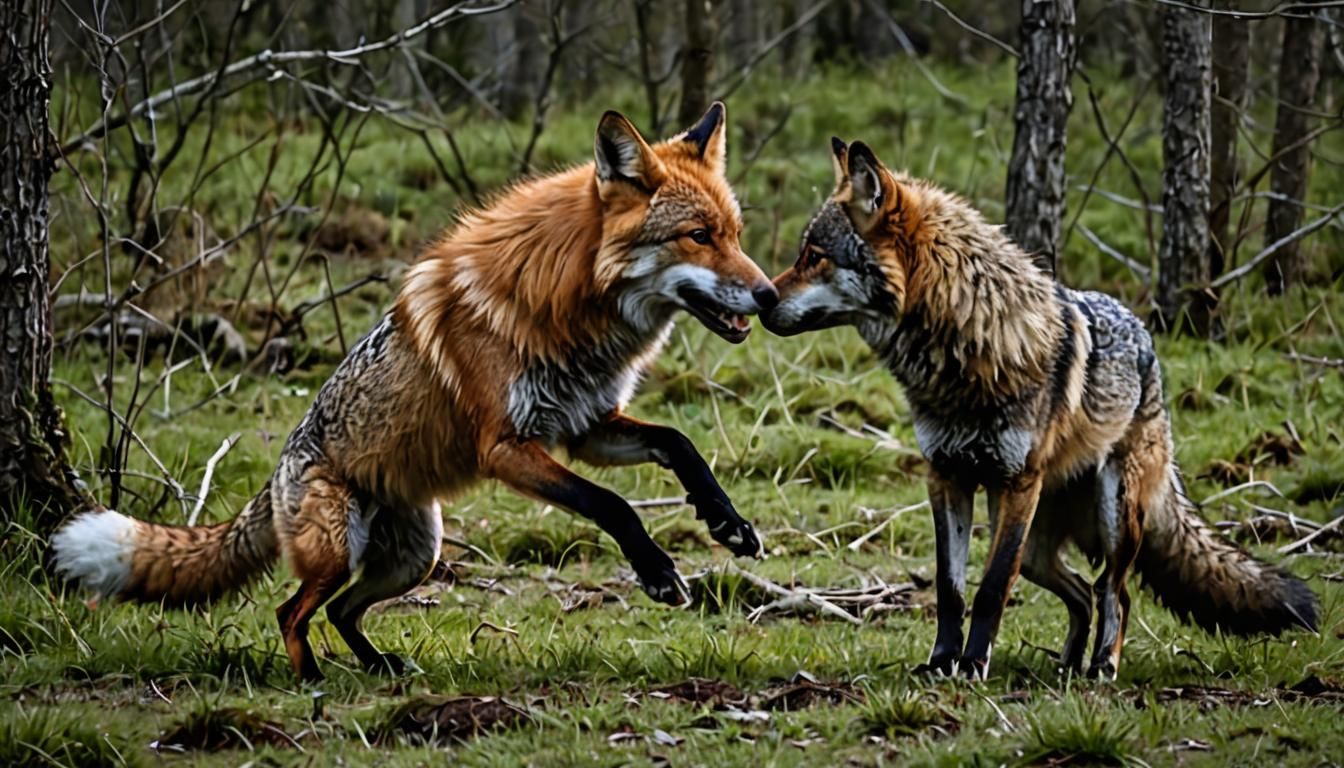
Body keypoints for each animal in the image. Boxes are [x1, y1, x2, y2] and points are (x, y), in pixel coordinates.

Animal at [52, 103, 776, 682]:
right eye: (699, 237)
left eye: (736, 234)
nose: (770, 296)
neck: (571, 309)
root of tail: (277, 473)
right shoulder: (507, 447)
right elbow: (613, 505)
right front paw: (657, 573)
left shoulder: (587, 425)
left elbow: (680, 445)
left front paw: (728, 523)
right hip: (339, 549)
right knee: (292, 611)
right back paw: (311, 681)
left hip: (415, 558)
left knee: (342, 612)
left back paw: (380, 668)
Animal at [761, 138, 1319, 679]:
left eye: (815, 255)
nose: (763, 299)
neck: (965, 354)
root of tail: (1145, 340)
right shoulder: (945, 476)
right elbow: (950, 588)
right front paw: (942, 662)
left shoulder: (1017, 483)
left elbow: (990, 589)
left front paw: (973, 665)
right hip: (1036, 549)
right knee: (1082, 593)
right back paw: (1067, 665)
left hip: (1112, 518)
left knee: (1114, 592)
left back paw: (1102, 667)